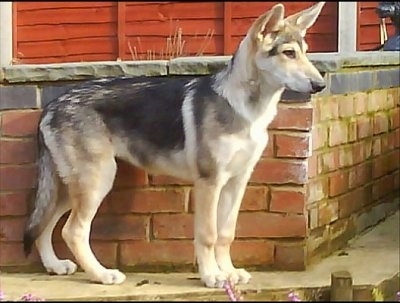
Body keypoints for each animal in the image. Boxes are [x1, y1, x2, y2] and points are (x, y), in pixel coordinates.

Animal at [23, 2, 326, 288]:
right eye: (289, 53)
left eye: (305, 51)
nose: (320, 85)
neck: (248, 110)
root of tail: (51, 105)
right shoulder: (209, 182)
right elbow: (208, 235)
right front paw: (212, 277)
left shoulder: (237, 182)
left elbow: (226, 234)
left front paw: (228, 272)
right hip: (98, 180)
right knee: (73, 231)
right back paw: (102, 275)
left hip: (72, 187)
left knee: (45, 224)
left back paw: (55, 266)